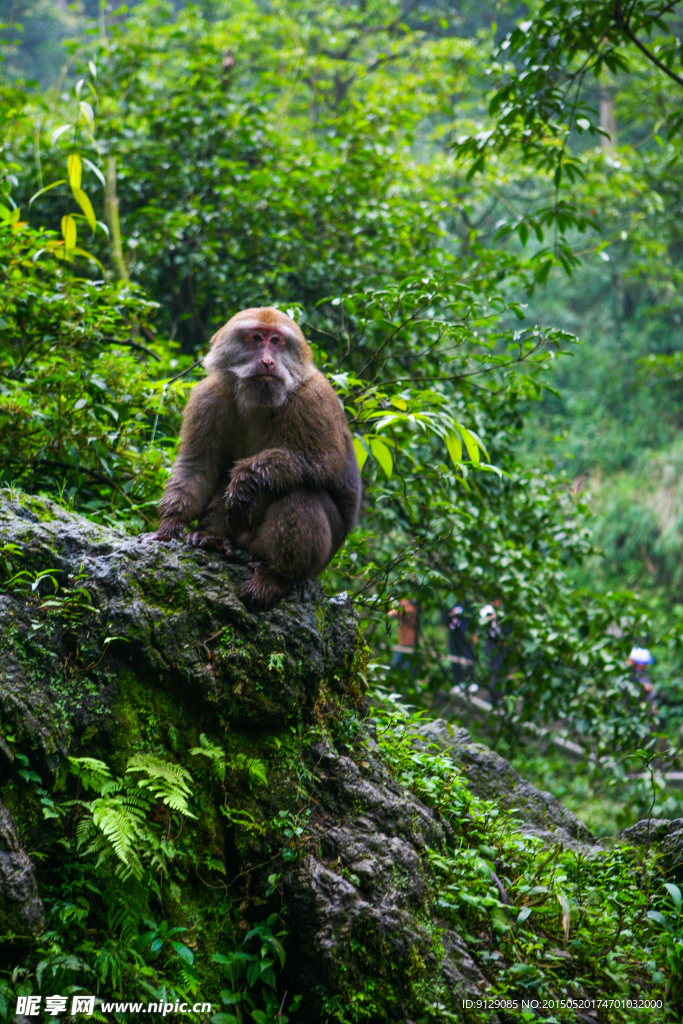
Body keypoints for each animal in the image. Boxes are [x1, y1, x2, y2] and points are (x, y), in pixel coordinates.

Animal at [149, 303, 362, 606]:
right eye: (257, 338)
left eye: (276, 341)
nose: (268, 362)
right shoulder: (207, 398)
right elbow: (197, 464)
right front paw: (168, 527)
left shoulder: (313, 400)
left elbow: (327, 464)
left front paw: (246, 476)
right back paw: (213, 537)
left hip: (314, 558)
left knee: (301, 495)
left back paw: (276, 578)